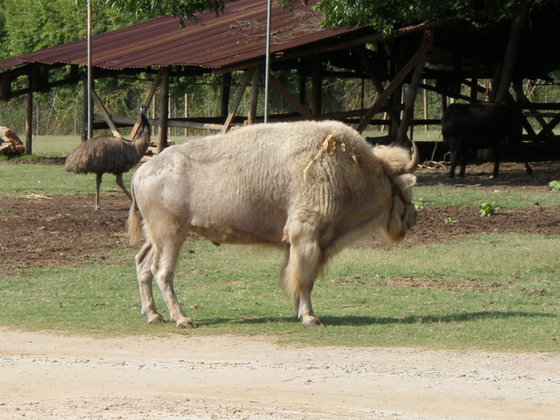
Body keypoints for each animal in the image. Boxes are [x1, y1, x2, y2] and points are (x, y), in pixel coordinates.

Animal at [127, 120, 418, 328]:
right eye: (406, 188)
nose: (413, 218)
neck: (350, 169)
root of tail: (142, 172)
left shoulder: (295, 244)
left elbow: (295, 276)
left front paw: (298, 312)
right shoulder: (306, 238)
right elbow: (305, 278)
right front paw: (310, 318)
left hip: (156, 237)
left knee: (142, 264)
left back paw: (153, 314)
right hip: (171, 236)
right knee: (162, 272)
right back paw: (182, 319)